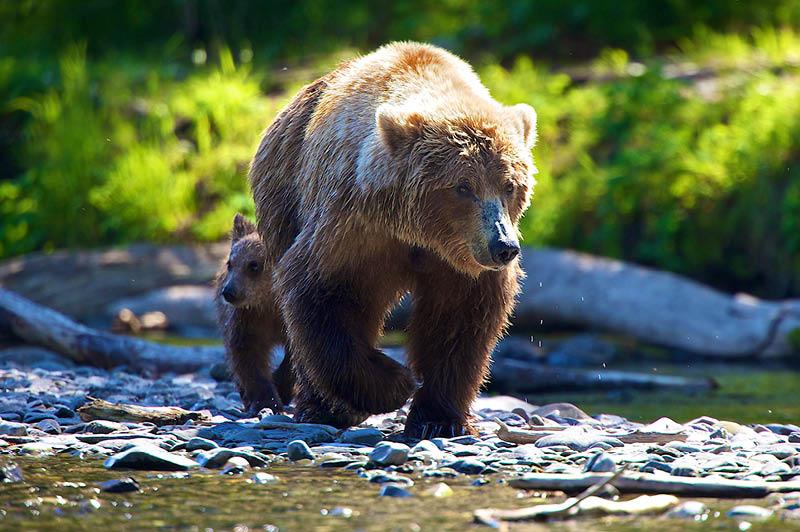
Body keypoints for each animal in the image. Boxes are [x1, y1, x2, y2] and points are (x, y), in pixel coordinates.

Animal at [214, 213, 295, 413]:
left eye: (254, 265)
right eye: (230, 263)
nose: (229, 292)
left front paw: (281, 387)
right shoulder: (247, 319)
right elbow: (247, 356)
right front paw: (266, 400)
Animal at [246, 42, 537, 439]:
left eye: (510, 185)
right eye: (463, 187)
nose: (503, 246)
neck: (421, 232)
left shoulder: (459, 261)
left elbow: (459, 320)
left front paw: (438, 417)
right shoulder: (353, 227)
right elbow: (321, 294)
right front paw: (396, 383)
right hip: (285, 195)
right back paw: (319, 407)